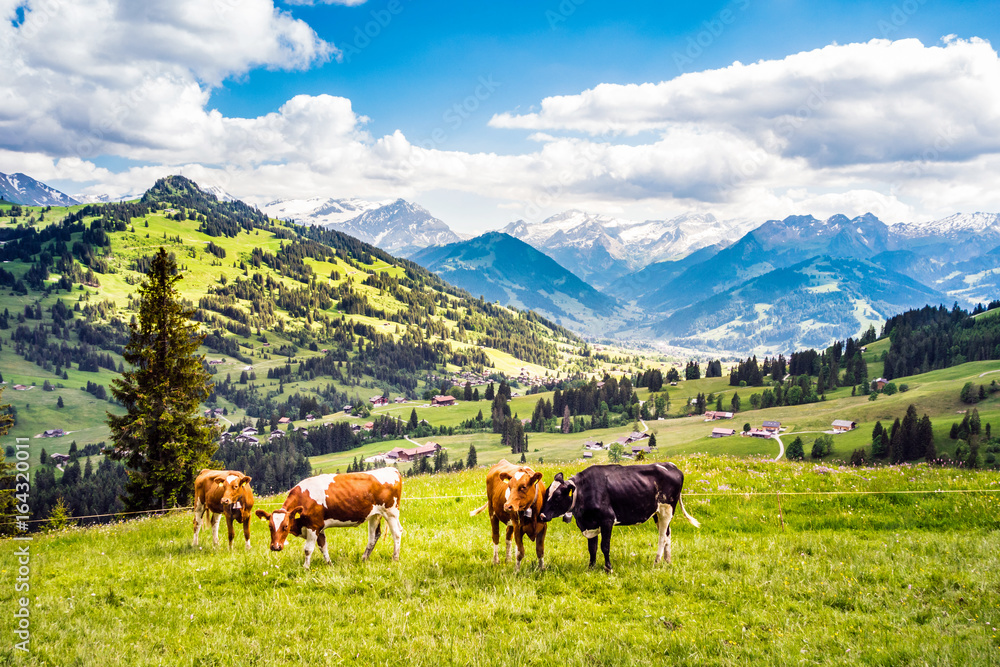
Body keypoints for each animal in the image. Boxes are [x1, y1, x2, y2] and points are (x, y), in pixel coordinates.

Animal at [254, 470, 402, 568]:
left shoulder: (313, 526)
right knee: (374, 536)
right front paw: (329, 564)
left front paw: (305, 568)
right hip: (374, 515)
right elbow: (323, 546)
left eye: (285, 526)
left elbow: (308, 549)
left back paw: (395, 558)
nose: (275, 547)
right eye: (270, 526)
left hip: (391, 512)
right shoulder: (319, 527)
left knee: (396, 533)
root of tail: (392, 470)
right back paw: (364, 559)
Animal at [536, 464, 700, 576]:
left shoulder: (607, 520)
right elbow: (592, 548)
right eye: (546, 493)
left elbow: (604, 546)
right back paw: (667, 560)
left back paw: (657, 561)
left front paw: (608, 568)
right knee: (667, 534)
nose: (542, 516)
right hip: (657, 513)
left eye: (557, 496)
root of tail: (672, 466)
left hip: (666, 509)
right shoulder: (591, 524)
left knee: (662, 537)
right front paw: (591, 568)